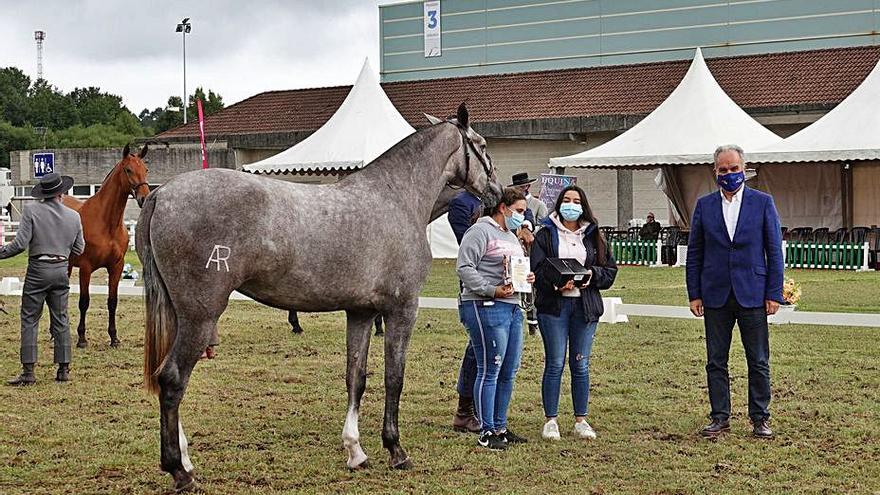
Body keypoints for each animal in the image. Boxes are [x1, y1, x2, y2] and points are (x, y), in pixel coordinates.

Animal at [63, 143, 150, 348]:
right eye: (128, 170)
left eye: (146, 170)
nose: (144, 198)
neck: (106, 223)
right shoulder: (86, 268)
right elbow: (84, 302)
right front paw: (82, 339)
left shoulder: (116, 267)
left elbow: (112, 301)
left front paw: (114, 338)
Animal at [134, 104, 498, 492]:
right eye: (482, 146)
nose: (495, 192)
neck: (396, 197)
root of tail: (161, 195)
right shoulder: (402, 310)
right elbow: (393, 378)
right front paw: (396, 450)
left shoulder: (361, 313)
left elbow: (356, 377)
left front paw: (355, 451)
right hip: (200, 318)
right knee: (173, 379)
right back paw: (179, 470)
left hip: (180, 316)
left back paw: (186, 459)